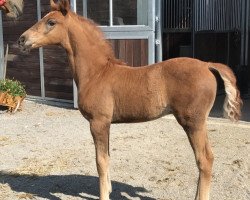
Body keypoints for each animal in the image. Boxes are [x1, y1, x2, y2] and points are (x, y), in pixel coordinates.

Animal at [18, 0, 242, 199]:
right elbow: (107, 157)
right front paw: (108, 190)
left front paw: (104, 195)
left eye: (51, 22)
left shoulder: (98, 122)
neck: (97, 73)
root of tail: (206, 64)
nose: (22, 39)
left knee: (205, 159)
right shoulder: (106, 124)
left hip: (193, 122)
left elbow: (100, 162)